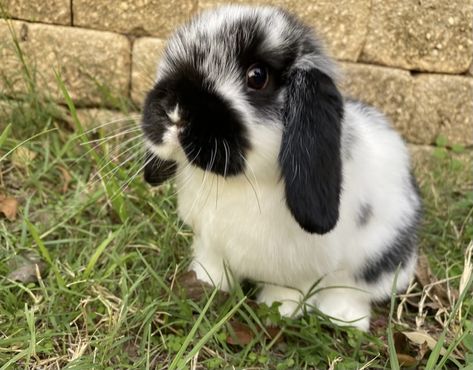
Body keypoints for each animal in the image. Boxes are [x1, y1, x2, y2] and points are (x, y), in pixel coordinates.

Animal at [139, 5, 420, 330]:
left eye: (257, 76)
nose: (175, 112)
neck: (240, 183)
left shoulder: (300, 269)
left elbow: (289, 289)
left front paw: (278, 310)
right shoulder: (210, 244)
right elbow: (212, 266)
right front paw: (204, 284)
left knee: (354, 288)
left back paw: (343, 318)